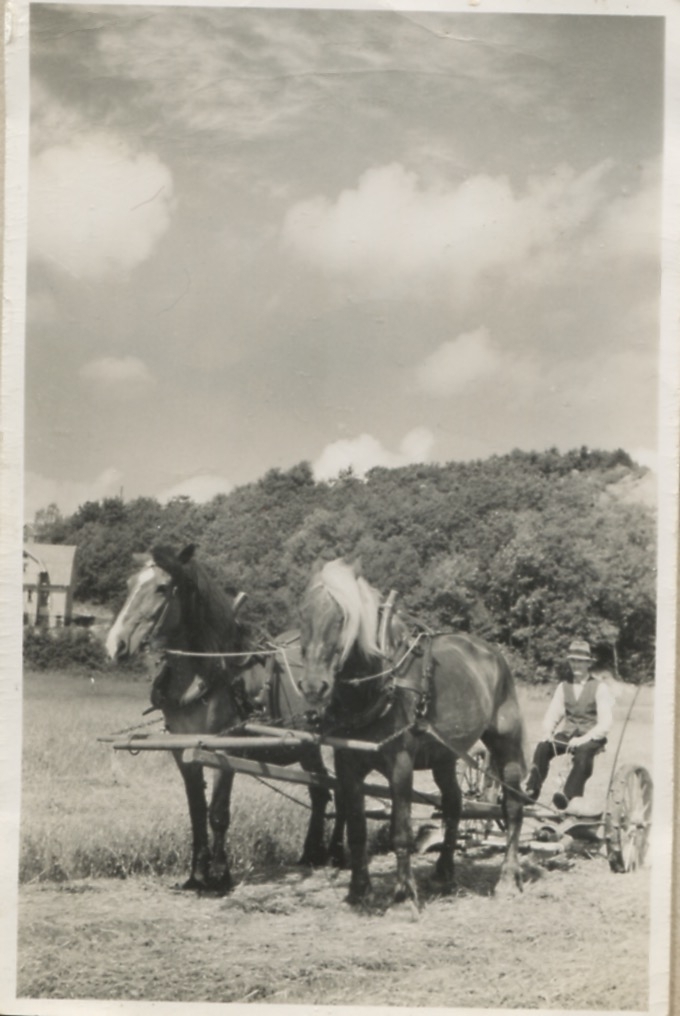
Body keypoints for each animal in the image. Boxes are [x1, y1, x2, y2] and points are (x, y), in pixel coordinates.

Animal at [105, 544, 339, 894]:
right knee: (322, 788)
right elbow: (196, 811)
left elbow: (217, 813)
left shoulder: (223, 749)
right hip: (308, 744)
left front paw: (219, 875)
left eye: (162, 588)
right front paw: (196, 875)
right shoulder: (183, 751)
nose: (114, 645)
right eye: (129, 584)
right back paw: (313, 852)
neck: (211, 671)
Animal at [298, 560, 528, 910]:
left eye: (343, 618)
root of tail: (492, 652)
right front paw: (359, 891)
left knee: (513, 806)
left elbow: (402, 832)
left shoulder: (401, 764)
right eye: (303, 617)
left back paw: (507, 879)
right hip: (445, 755)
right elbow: (357, 829)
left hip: (506, 742)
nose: (313, 687)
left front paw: (404, 896)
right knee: (453, 804)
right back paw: (444, 872)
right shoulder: (347, 765)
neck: (378, 687)